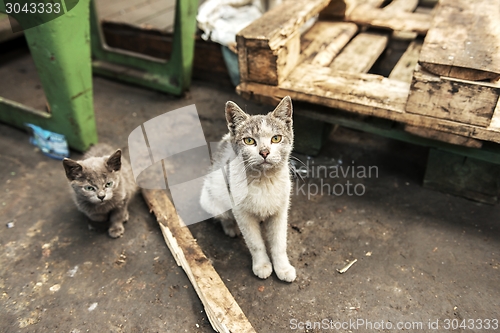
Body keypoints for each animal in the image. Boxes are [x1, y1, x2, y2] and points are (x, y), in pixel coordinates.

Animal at [199, 95, 294, 280]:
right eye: (249, 141)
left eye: (276, 138)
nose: (264, 152)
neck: (263, 180)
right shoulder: (242, 213)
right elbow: (255, 242)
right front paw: (262, 265)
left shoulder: (281, 210)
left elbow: (279, 242)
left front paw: (283, 268)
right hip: (210, 199)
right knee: (223, 215)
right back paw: (230, 228)